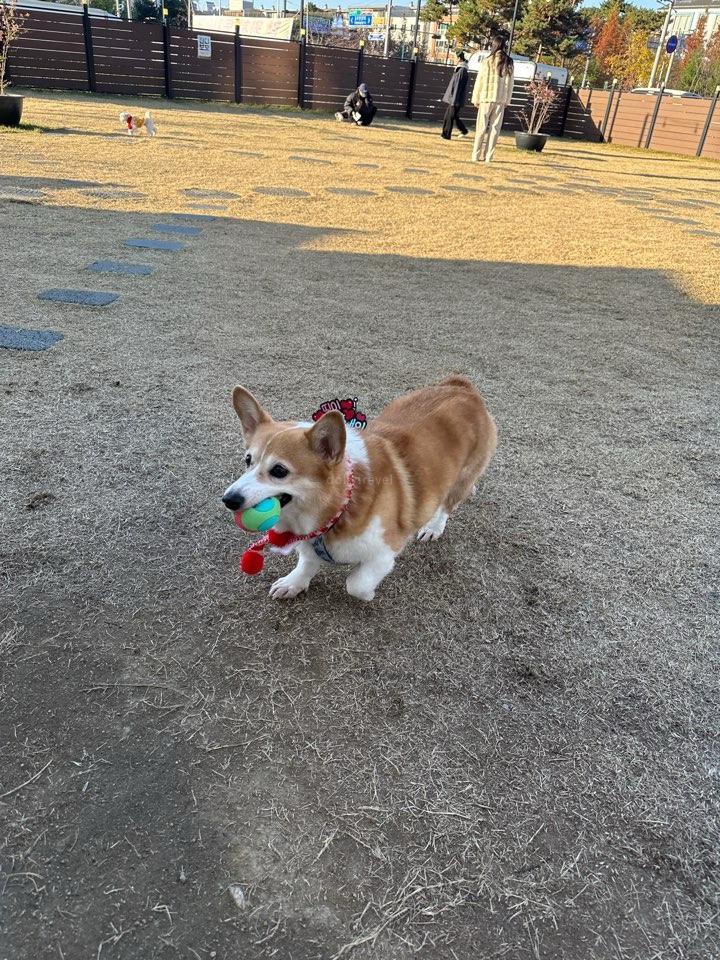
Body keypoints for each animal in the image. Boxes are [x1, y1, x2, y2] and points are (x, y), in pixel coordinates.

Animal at [222, 376, 497, 601]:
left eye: (279, 470)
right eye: (248, 460)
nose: (228, 500)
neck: (342, 506)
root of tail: (462, 387)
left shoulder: (385, 552)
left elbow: (356, 583)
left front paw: (368, 593)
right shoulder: (310, 543)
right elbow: (307, 563)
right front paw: (293, 583)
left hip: (462, 476)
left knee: (448, 504)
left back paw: (433, 527)